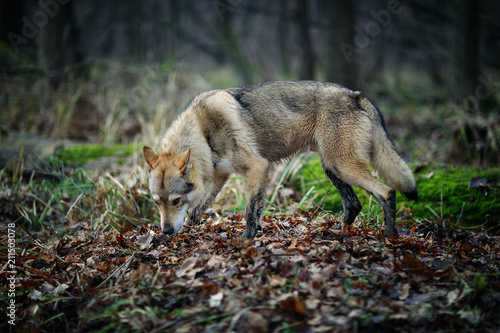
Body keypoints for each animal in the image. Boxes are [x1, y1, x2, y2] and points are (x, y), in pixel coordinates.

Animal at [144, 79, 418, 237]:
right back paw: (337, 235)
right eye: (157, 203)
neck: (203, 131)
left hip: (343, 166)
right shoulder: (219, 177)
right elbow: (197, 212)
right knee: (354, 204)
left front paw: (248, 240)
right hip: (331, 167)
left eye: (176, 201)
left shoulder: (257, 167)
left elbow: (250, 211)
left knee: (386, 192)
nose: (166, 231)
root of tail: (356, 94)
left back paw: (390, 236)